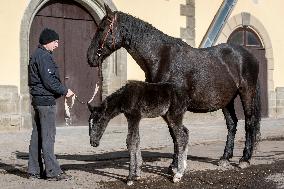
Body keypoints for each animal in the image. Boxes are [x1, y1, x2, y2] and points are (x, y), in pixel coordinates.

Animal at [87, 2, 262, 179]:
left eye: (102, 28)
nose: (90, 57)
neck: (161, 56)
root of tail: (249, 55)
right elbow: (174, 135)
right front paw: (173, 166)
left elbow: (177, 135)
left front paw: (176, 168)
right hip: (227, 99)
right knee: (232, 123)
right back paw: (225, 158)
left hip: (247, 92)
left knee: (249, 122)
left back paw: (244, 159)